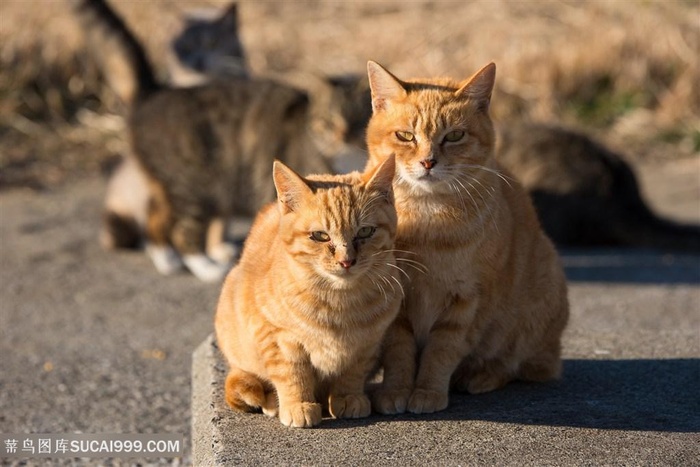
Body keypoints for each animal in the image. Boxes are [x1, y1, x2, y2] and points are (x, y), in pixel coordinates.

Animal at [213, 156, 400, 428]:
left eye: (365, 232)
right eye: (320, 236)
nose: (346, 261)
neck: (340, 303)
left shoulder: (369, 342)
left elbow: (353, 372)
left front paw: (348, 397)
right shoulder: (276, 336)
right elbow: (292, 373)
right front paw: (297, 405)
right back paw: (273, 403)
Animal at [364, 60, 572, 414]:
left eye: (455, 136)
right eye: (405, 136)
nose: (428, 162)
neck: (427, 222)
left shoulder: (466, 301)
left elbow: (441, 352)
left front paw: (428, 392)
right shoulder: (397, 301)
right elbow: (399, 352)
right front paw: (396, 391)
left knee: (517, 364)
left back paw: (479, 376)